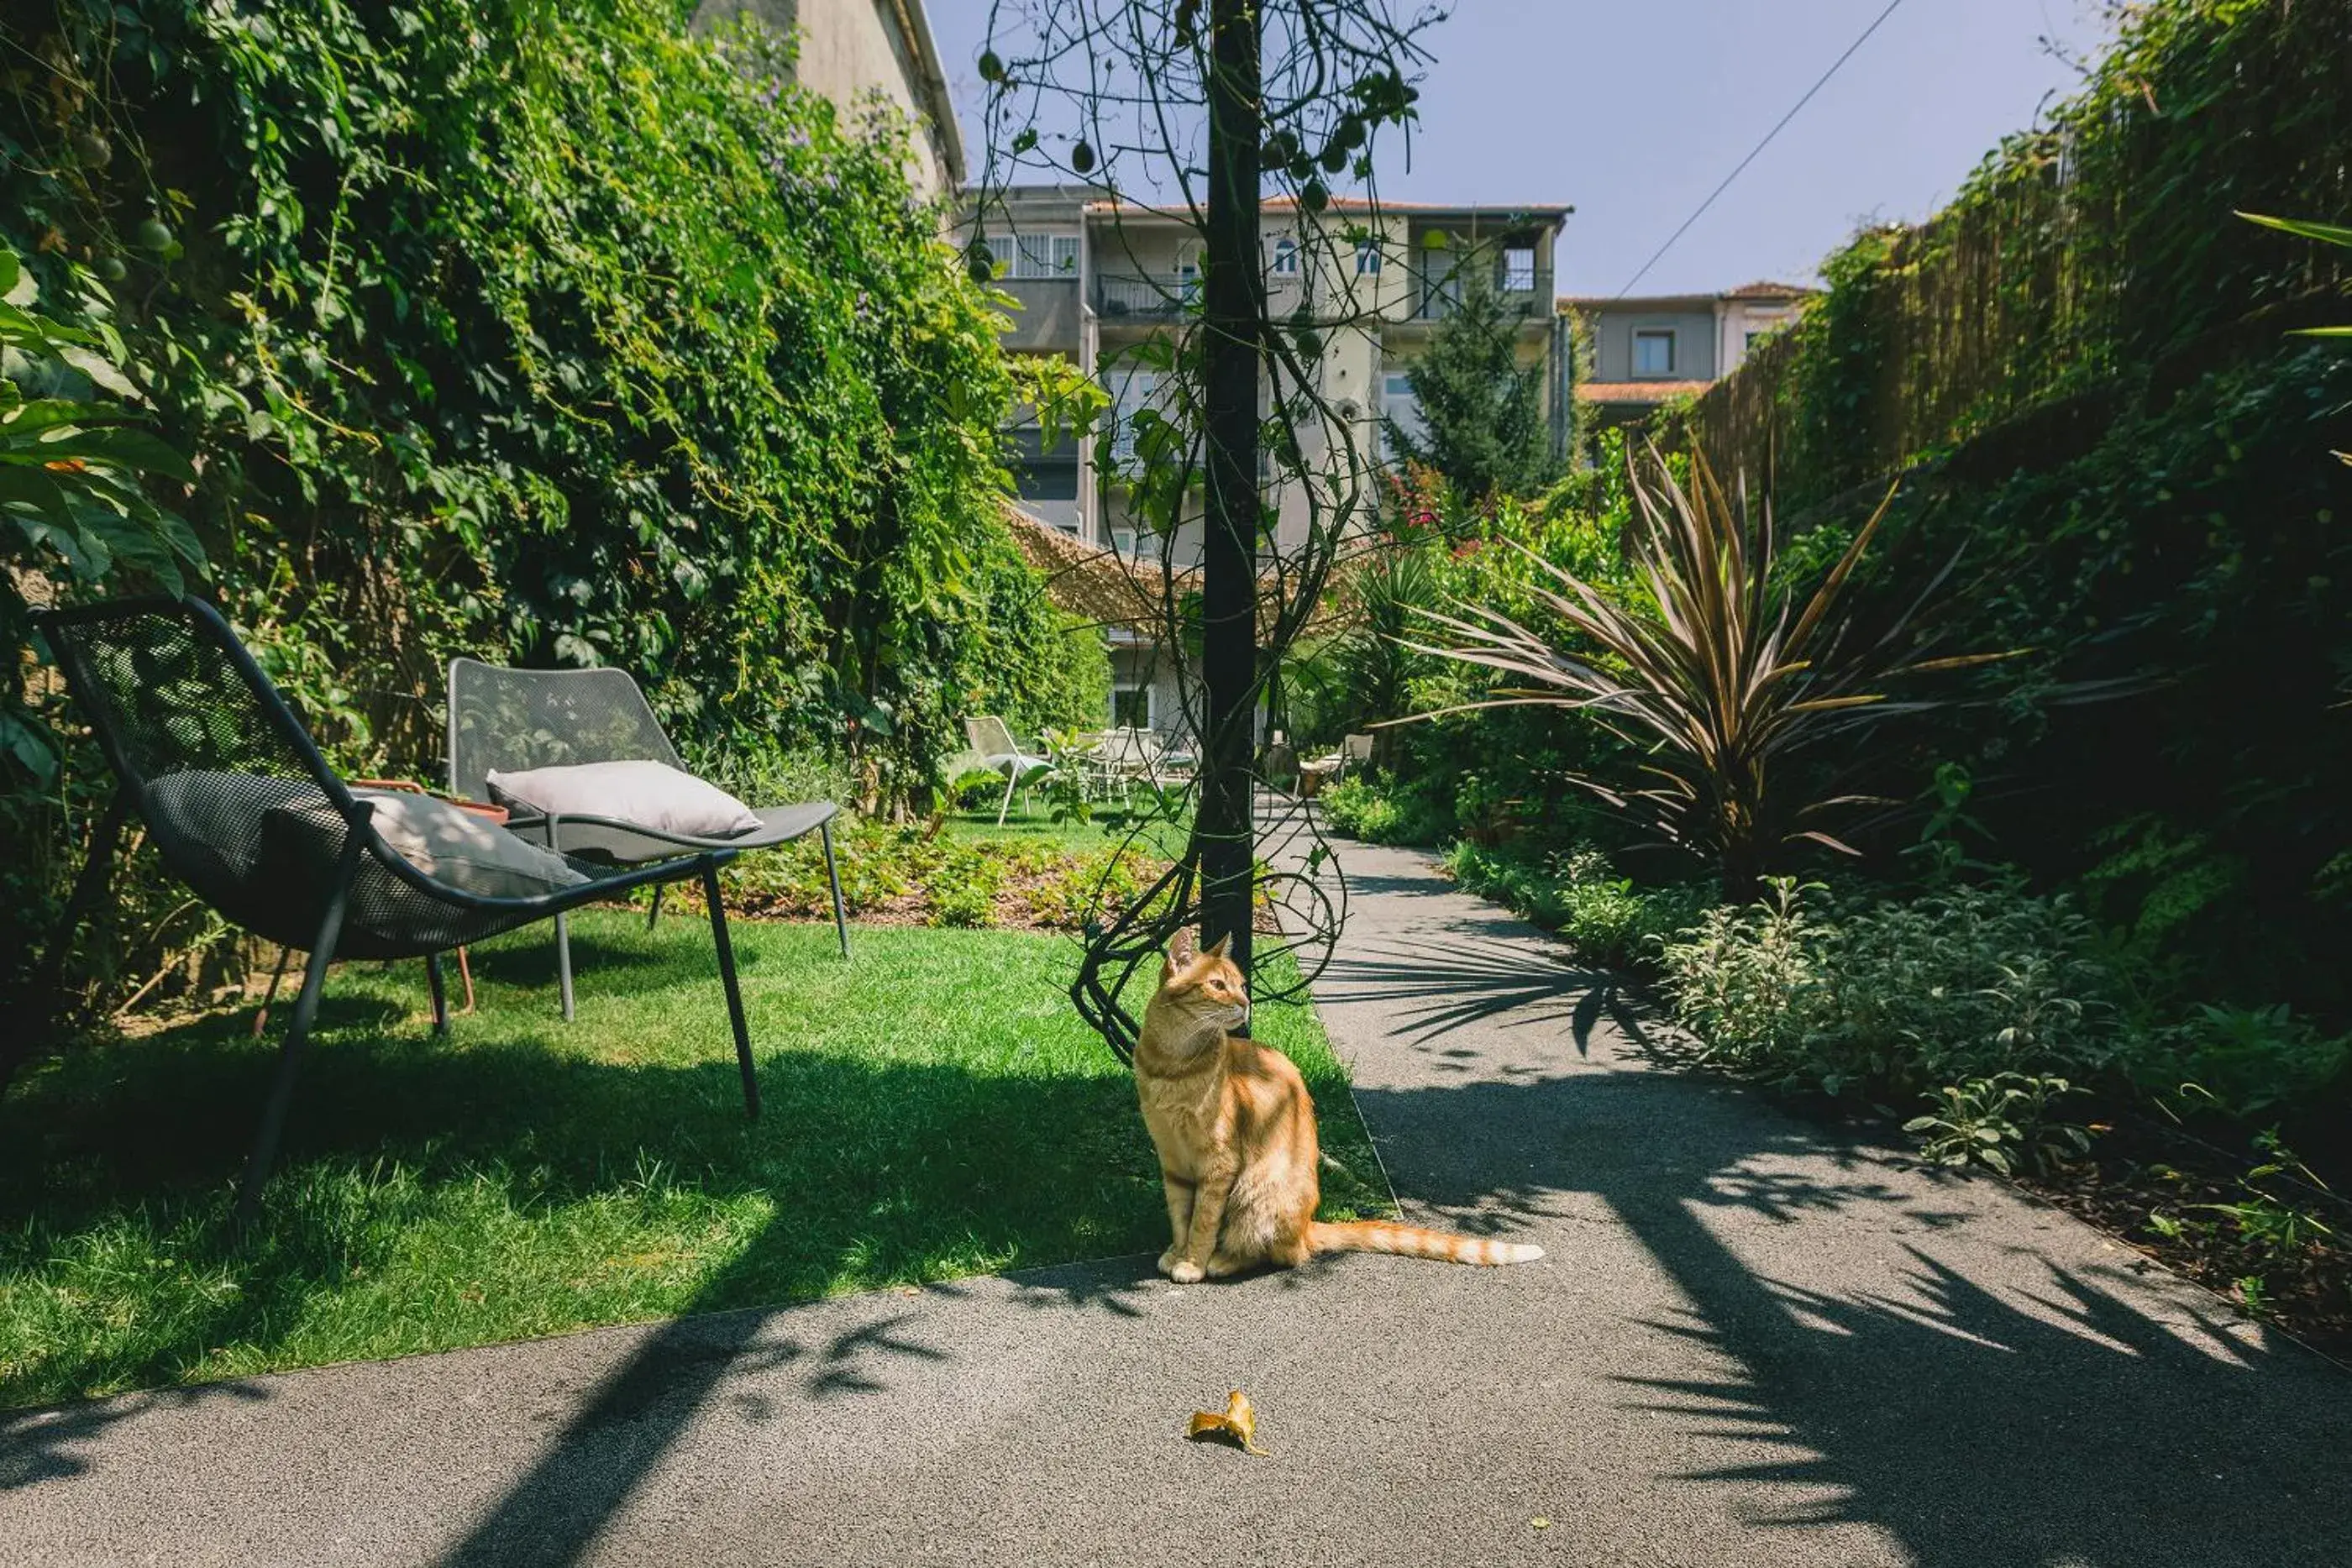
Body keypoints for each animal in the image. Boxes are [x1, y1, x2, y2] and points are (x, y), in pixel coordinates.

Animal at [1133, 926, 1542, 1278]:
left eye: (1242, 985)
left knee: (1283, 1255)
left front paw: (1193, 1263)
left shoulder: (1219, 1165)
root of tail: (1307, 1226)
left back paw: (1224, 1260)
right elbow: (1180, 1216)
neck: (1172, 1065)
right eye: (1218, 985)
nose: (1246, 1002)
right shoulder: (1171, 1158)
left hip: (1256, 1190)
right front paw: (1177, 1252)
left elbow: (1203, 1221)